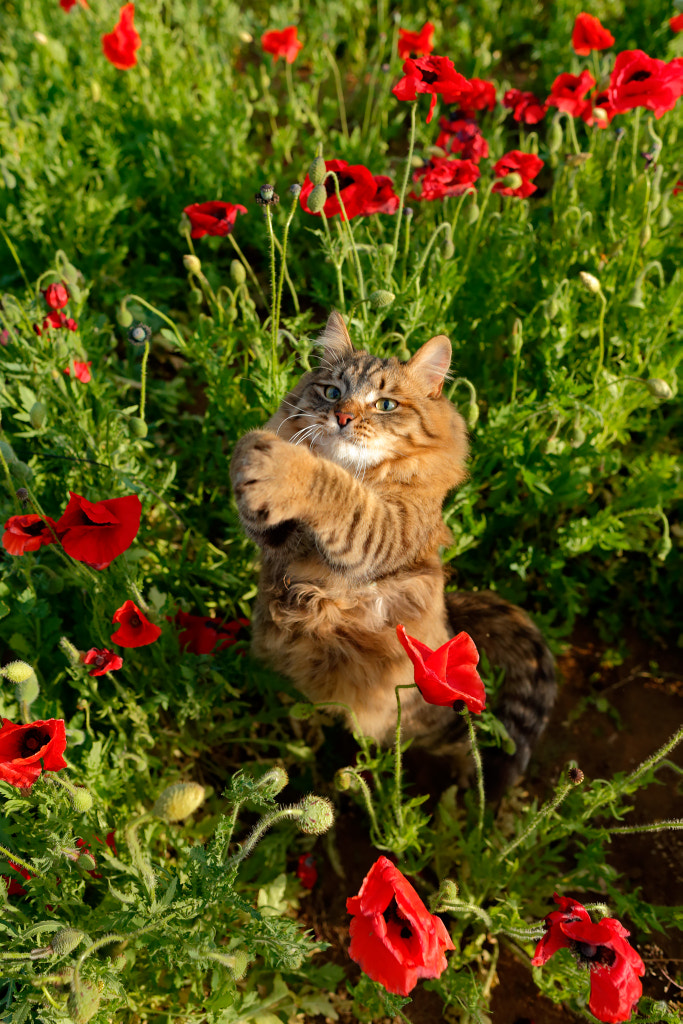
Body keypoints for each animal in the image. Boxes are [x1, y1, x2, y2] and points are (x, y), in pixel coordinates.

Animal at [229, 315, 557, 794]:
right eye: (332, 392)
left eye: (384, 404)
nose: (343, 417)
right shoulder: (284, 545)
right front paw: (253, 460)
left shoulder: (382, 532)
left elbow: (335, 489)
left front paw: (283, 464)